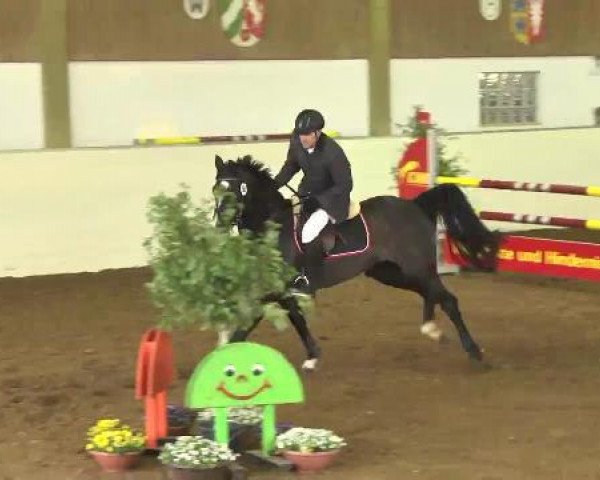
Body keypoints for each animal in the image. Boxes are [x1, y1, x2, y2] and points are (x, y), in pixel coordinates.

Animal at [212, 155, 502, 372]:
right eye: (215, 191)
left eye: (236, 190)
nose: (219, 225)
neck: (273, 225)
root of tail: (414, 205)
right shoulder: (274, 288)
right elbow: (262, 321)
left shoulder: (283, 288)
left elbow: (289, 319)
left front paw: (312, 357)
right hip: (390, 272)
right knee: (430, 293)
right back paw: (432, 330)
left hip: (415, 267)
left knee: (448, 299)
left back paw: (474, 351)